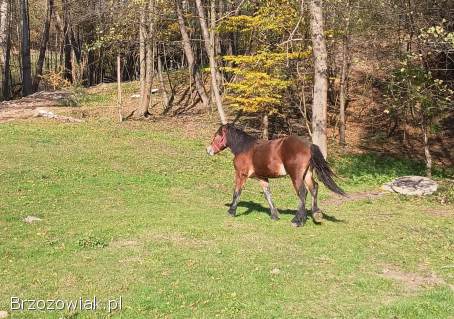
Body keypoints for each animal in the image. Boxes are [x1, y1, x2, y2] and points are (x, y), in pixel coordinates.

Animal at [207, 124, 346, 228]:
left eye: (217, 135)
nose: (208, 150)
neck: (244, 148)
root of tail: (308, 145)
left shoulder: (241, 174)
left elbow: (237, 192)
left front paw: (231, 211)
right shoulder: (262, 178)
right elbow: (267, 194)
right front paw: (275, 215)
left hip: (296, 176)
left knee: (302, 192)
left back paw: (297, 220)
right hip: (306, 174)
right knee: (314, 188)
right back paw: (316, 215)